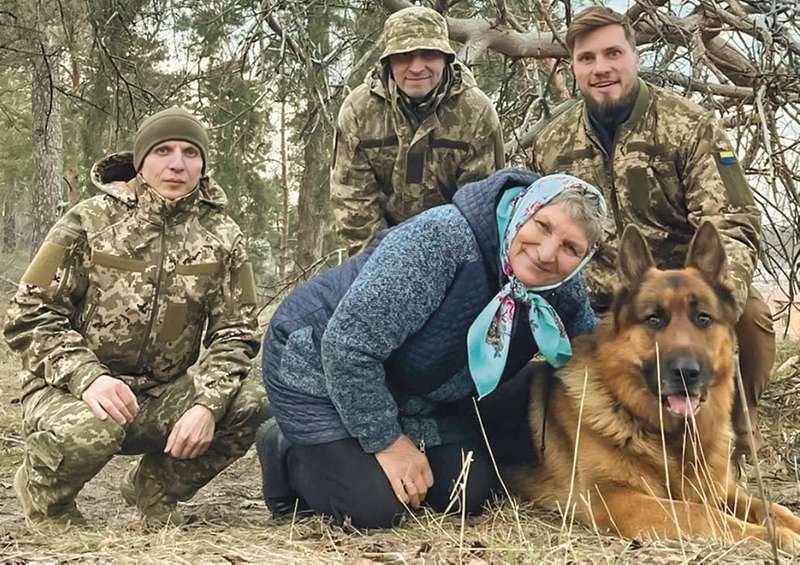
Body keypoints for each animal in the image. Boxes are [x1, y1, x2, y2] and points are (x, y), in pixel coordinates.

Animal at [506, 223, 800, 552]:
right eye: (654, 319)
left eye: (703, 318)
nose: (686, 373)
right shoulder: (621, 500)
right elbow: (703, 514)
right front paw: (772, 536)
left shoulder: (718, 489)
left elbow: (771, 507)